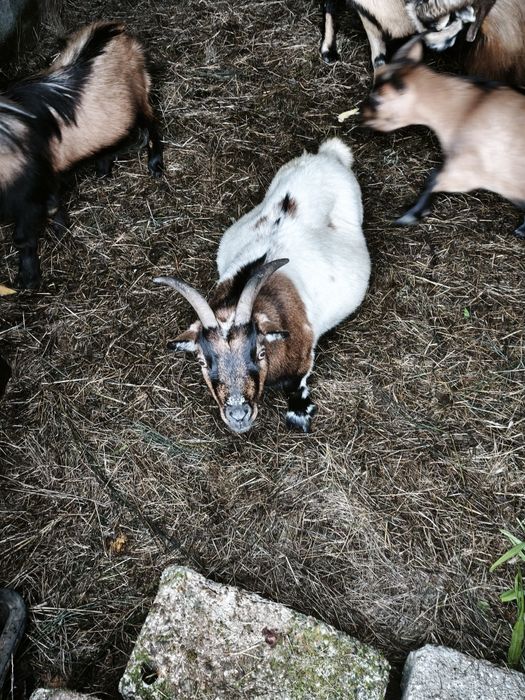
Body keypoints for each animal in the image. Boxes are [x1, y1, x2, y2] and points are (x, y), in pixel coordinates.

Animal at [0, 21, 163, 289]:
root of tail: (120, 30)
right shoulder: (47, 175)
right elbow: (54, 204)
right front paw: (62, 231)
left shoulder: (29, 195)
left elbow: (24, 238)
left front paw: (29, 279)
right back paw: (103, 171)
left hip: (141, 92)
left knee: (151, 123)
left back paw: (155, 166)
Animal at [154, 139, 370, 434]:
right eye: (202, 361)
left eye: (259, 352)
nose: (238, 415)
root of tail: (325, 156)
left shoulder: (303, 359)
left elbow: (297, 384)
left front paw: (300, 414)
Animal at [360, 36, 525, 237]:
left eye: (377, 100)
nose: (360, 114)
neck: (467, 108)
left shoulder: (466, 173)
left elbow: (433, 179)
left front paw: (410, 216)